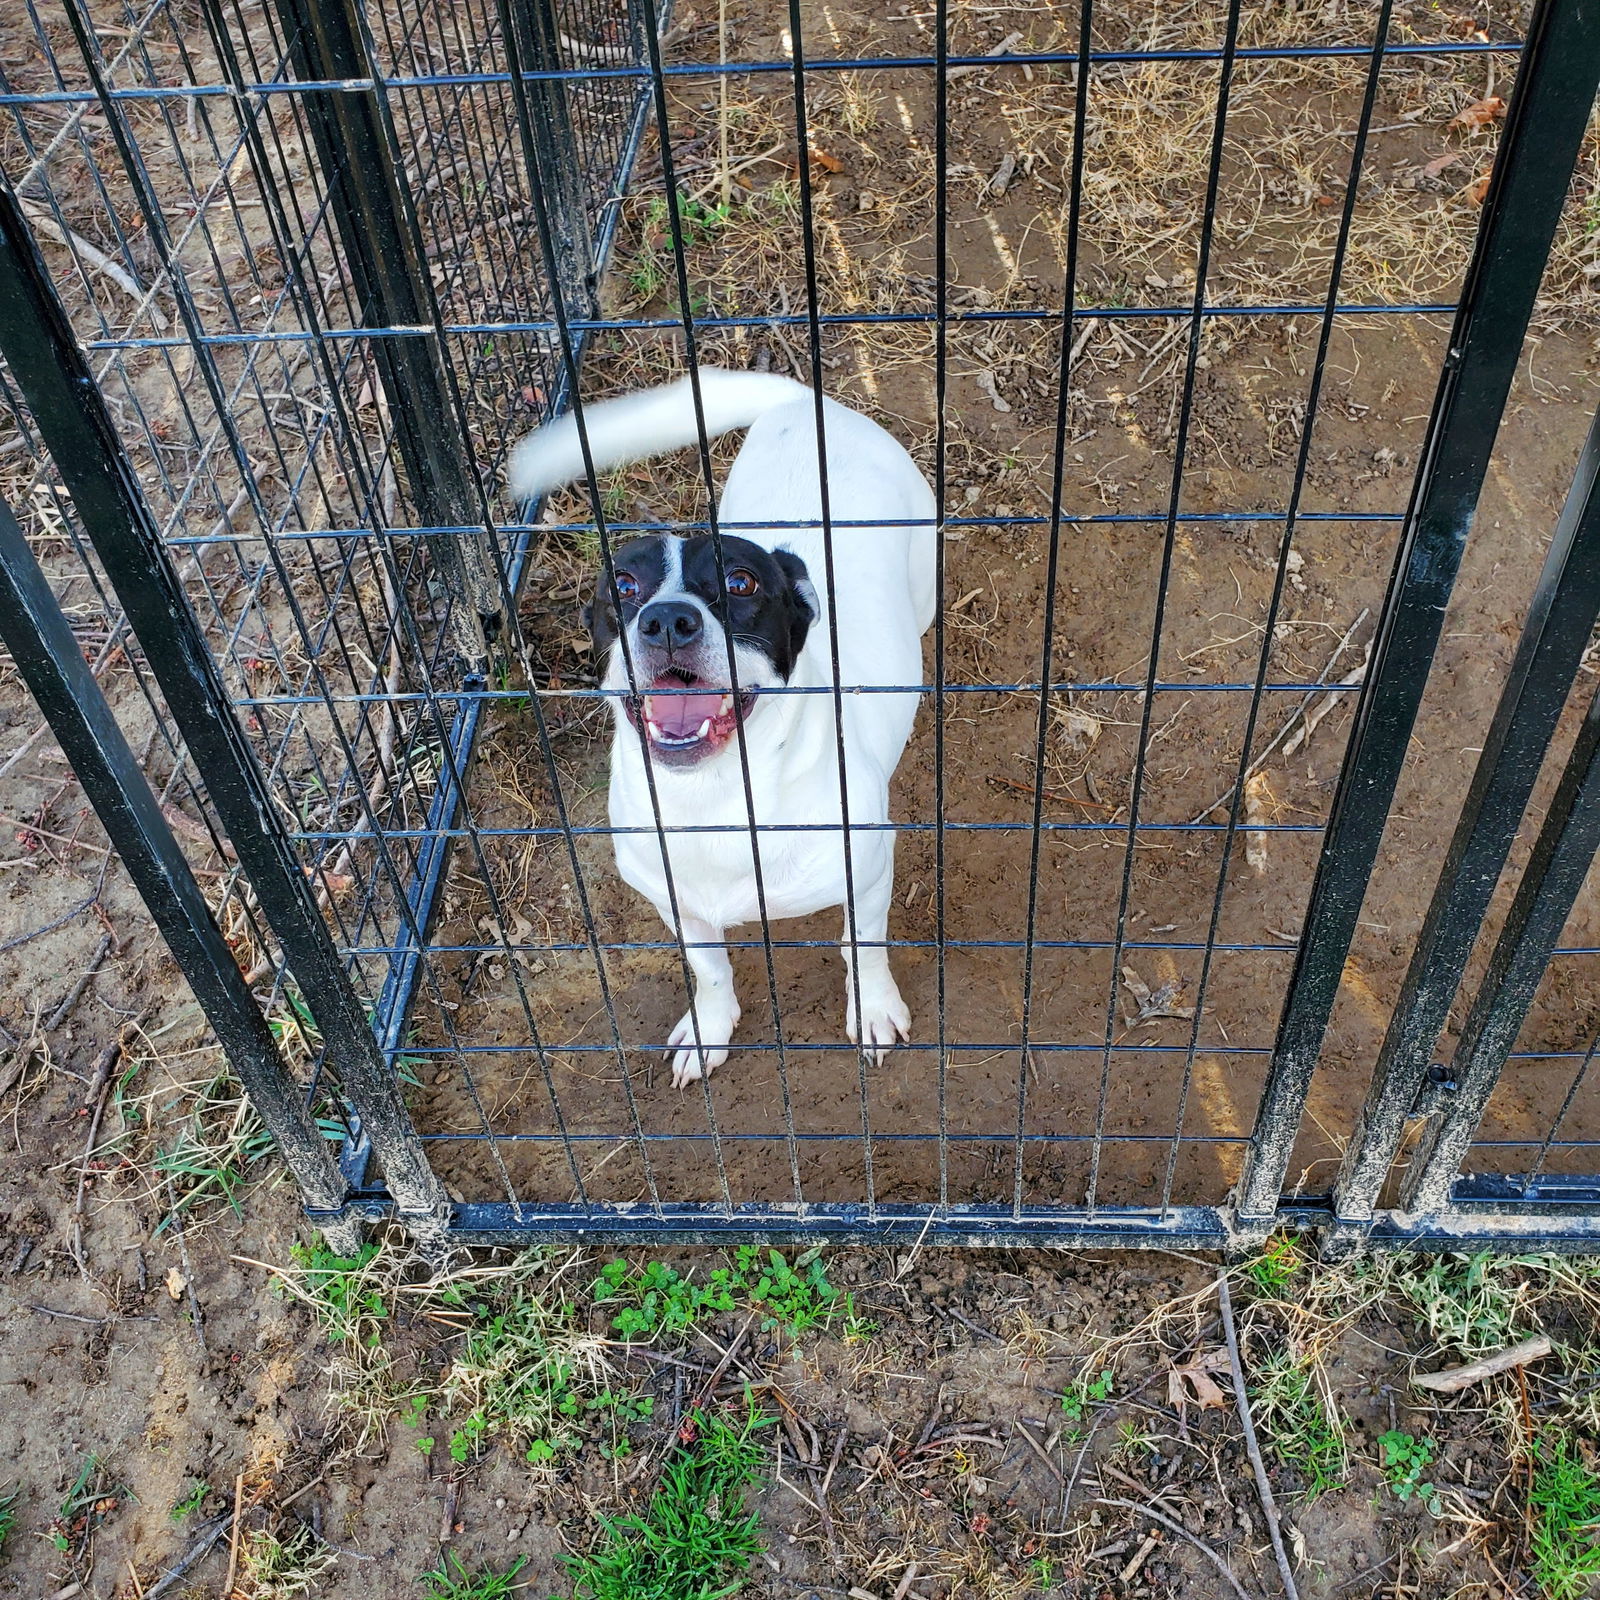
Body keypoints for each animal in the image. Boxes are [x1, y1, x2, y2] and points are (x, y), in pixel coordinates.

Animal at [512, 366, 934, 1088]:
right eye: (622, 587)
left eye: (741, 583)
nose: (666, 621)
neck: (715, 798)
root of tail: (808, 402)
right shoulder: (676, 905)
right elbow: (708, 970)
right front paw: (710, 1028)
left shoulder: (870, 868)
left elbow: (865, 946)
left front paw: (874, 1008)